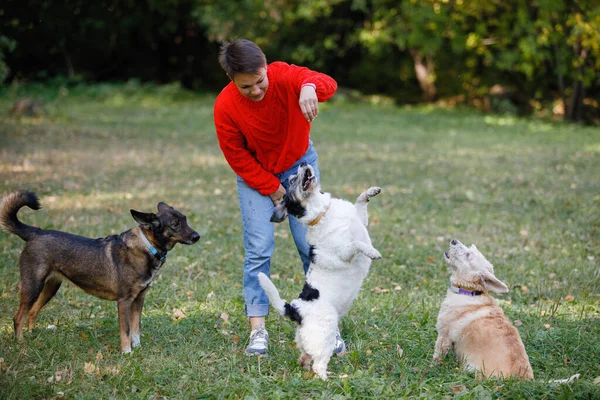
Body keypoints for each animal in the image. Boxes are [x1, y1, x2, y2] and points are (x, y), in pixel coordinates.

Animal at [0, 190, 202, 354]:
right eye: (175, 224)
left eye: (185, 219)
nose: (197, 236)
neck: (147, 246)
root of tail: (36, 232)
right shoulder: (124, 301)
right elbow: (126, 330)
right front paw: (127, 352)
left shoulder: (139, 300)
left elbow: (136, 328)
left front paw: (137, 348)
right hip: (33, 286)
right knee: (18, 317)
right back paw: (21, 343)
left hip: (50, 287)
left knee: (32, 312)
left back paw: (33, 335)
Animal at [256, 162, 380, 378]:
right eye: (291, 180)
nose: (302, 163)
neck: (323, 213)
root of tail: (295, 309)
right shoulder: (344, 252)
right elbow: (357, 243)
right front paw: (372, 252)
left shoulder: (360, 220)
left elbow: (360, 201)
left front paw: (371, 191)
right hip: (325, 337)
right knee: (318, 364)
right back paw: (326, 379)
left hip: (308, 342)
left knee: (304, 357)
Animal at [432, 239, 536, 380]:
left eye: (468, 255)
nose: (454, 240)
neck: (469, 291)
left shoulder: (444, 335)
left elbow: (437, 356)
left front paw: (430, 367)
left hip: (472, 369)